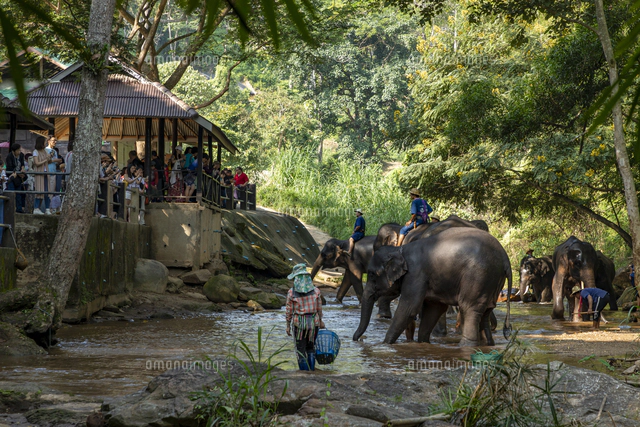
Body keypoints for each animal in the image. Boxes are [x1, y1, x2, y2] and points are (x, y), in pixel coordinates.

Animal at [353, 227, 512, 345]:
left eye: (372, 274)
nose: (358, 339)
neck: (400, 250)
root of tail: (505, 258)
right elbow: (434, 308)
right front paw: (423, 343)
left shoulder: (416, 274)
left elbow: (409, 308)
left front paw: (385, 344)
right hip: (492, 282)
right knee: (485, 312)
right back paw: (488, 344)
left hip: (478, 277)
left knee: (469, 309)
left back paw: (466, 346)